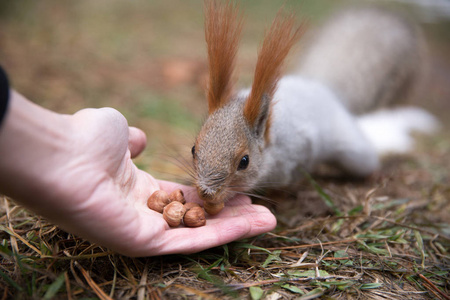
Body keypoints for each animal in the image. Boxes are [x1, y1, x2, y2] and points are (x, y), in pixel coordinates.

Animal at [191, 1, 440, 214]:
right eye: (193, 149)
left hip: (354, 151)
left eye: (244, 161)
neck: (272, 141)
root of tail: (325, 91)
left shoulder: (298, 154)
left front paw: (277, 196)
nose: (207, 194)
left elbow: (287, 182)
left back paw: (375, 174)